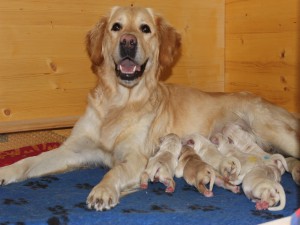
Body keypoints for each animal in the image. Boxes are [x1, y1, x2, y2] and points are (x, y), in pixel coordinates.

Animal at [0, 6, 298, 211]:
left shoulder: (136, 157)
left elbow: (114, 171)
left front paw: (103, 190)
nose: (128, 42)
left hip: (273, 129)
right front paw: (6, 172)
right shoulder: (73, 150)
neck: (120, 101)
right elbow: (30, 161)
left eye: (145, 29)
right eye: (116, 27)